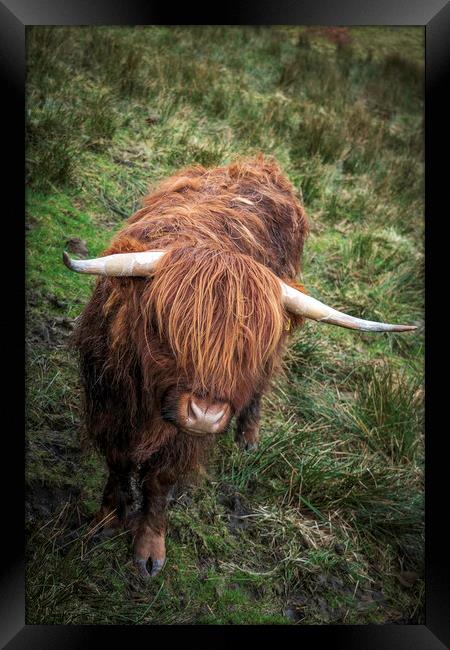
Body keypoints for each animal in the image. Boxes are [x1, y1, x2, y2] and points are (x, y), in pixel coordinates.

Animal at [64, 154, 414, 576]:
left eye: (245, 349)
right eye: (161, 327)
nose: (206, 415)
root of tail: (259, 163)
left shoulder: (184, 437)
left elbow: (160, 480)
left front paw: (150, 548)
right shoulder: (106, 396)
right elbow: (117, 462)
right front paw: (105, 521)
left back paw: (248, 436)